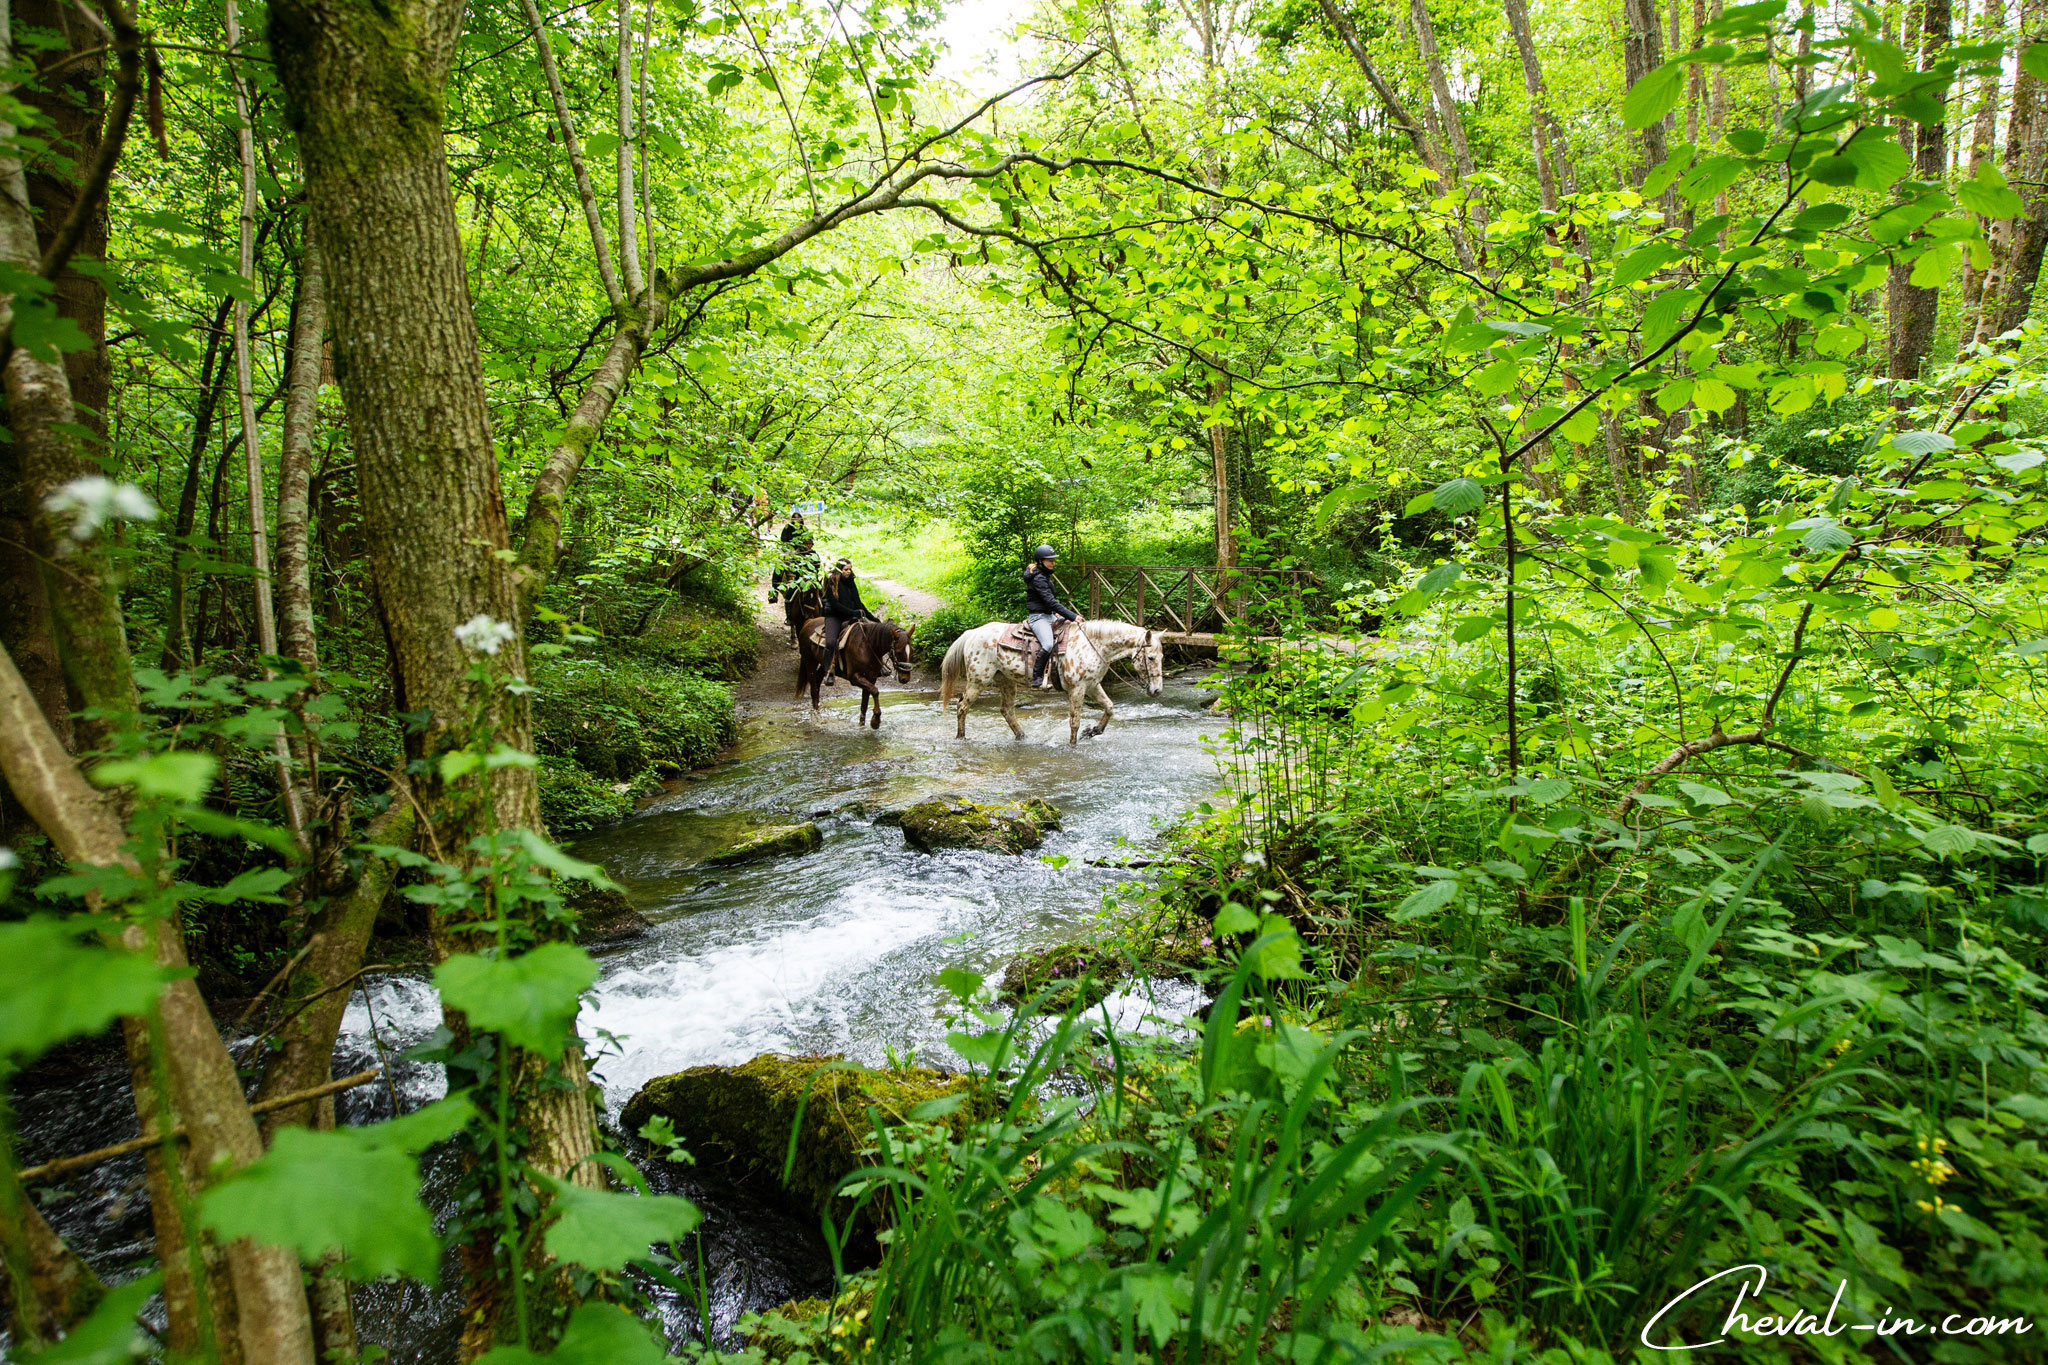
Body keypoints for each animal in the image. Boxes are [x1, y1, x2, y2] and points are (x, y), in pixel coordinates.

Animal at [937, 618, 1163, 749]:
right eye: (1151, 657)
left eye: (1162, 657)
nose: (1157, 690)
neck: (1092, 645)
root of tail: (972, 633)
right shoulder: (1078, 688)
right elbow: (1074, 721)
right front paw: (1073, 744)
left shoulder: (1092, 685)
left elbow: (1109, 707)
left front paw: (1093, 731)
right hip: (978, 681)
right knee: (962, 706)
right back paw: (961, 737)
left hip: (1007, 681)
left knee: (1007, 710)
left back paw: (1023, 737)